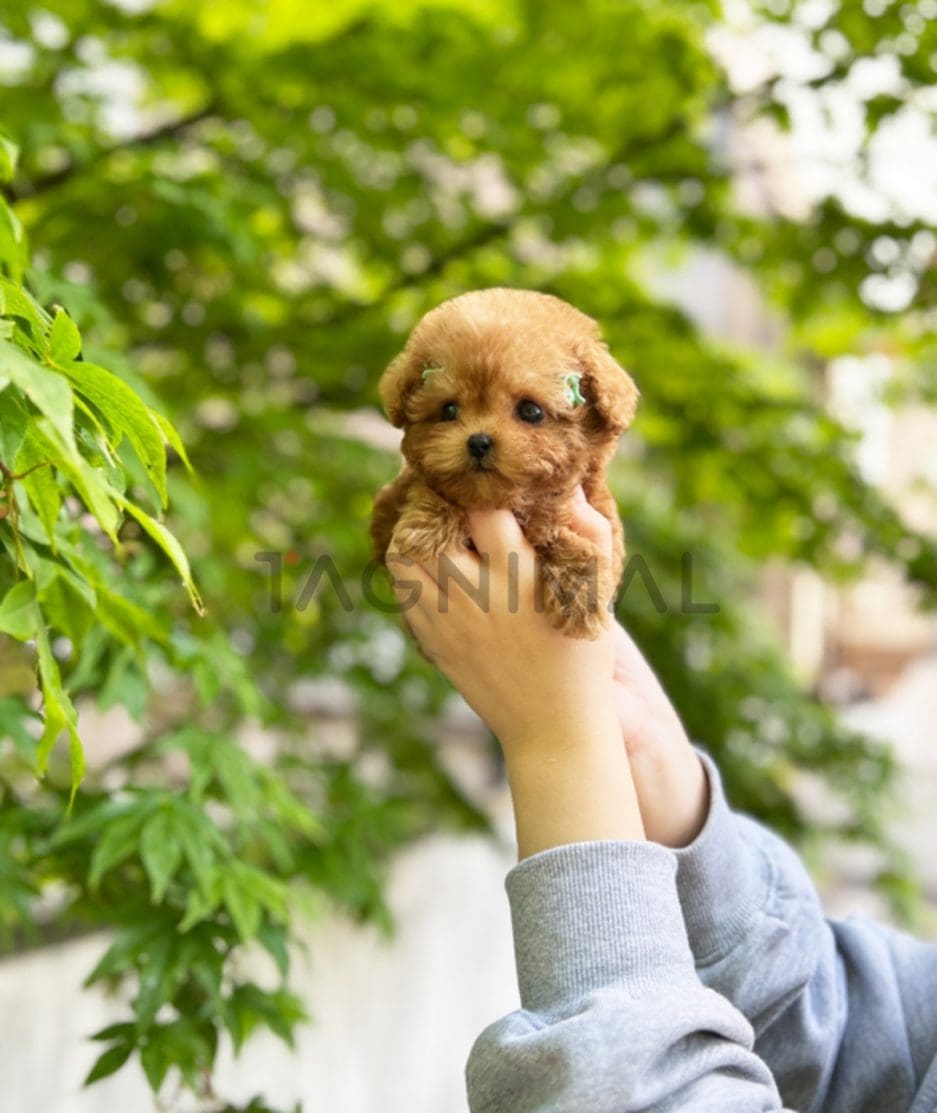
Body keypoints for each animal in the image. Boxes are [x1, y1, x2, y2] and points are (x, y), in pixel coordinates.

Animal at [369, 287, 640, 641]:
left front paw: (581, 592)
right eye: (449, 410)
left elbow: (560, 530)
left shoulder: (600, 515)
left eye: (531, 411)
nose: (478, 442)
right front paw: (429, 528)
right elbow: (424, 488)